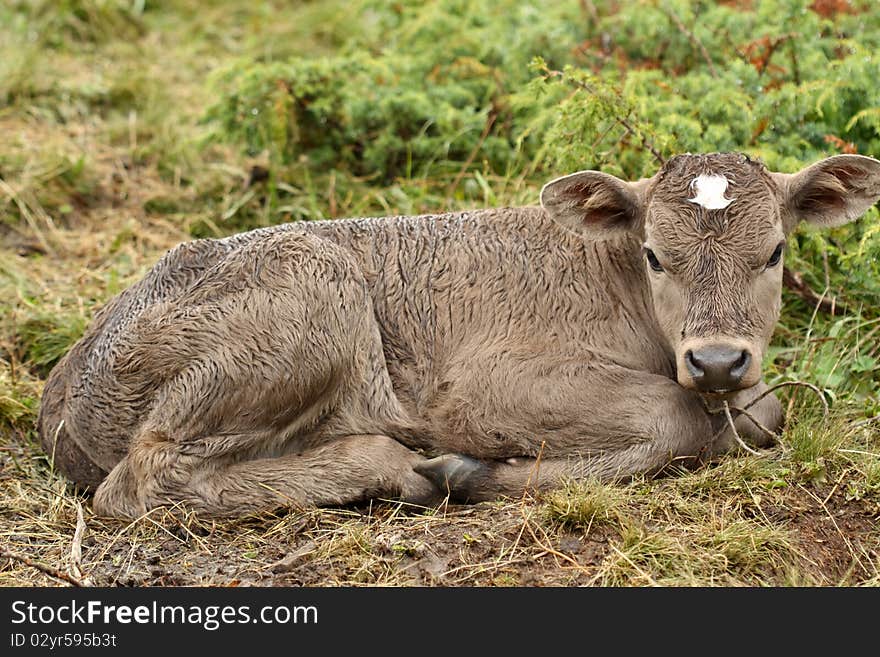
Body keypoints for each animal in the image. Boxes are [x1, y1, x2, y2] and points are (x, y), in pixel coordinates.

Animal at [36, 151, 880, 516]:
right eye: (654, 255)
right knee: (143, 479)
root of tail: (68, 374)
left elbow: (764, 410)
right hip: (309, 302)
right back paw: (392, 469)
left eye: (774, 251)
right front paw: (473, 471)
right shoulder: (475, 387)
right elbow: (675, 416)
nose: (716, 358)